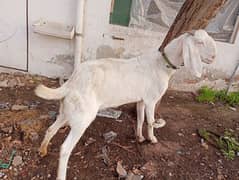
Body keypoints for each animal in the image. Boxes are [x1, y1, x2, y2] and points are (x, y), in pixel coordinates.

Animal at [35, 28, 217, 179]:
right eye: (199, 42)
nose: (214, 57)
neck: (161, 65)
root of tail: (72, 82)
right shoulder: (151, 99)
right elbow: (150, 121)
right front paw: (152, 139)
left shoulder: (141, 100)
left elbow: (141, 119)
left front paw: (140, 137)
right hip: (82, 118)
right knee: (65, 148)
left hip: (66, 111)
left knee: (51, 128)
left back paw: (42, 150)